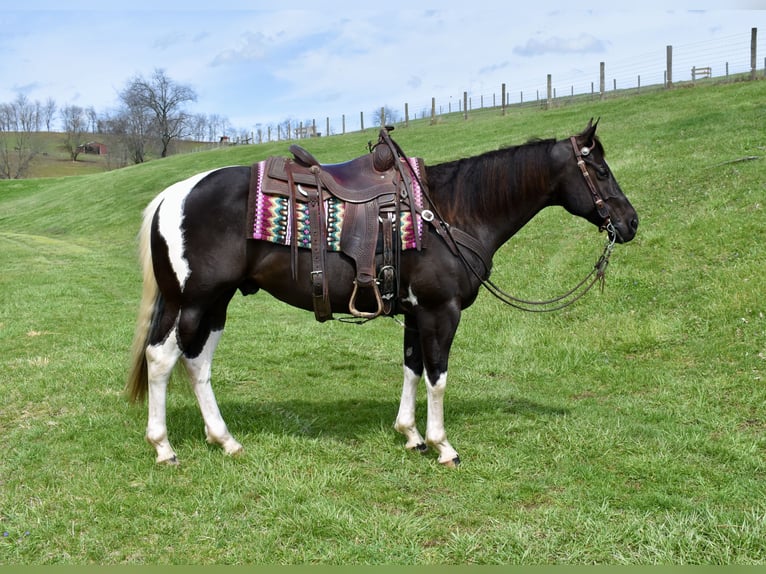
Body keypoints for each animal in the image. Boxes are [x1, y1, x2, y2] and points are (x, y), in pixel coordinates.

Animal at [126, 119, 638, 467]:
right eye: (601, 171)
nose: (631, 222)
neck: (450, 212)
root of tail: (172, 194)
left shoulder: (415, 312)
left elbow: (412, 368)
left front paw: (410, 435)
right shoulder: (440, 311)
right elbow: (437, 376)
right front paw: (442, 445)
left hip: (216, 302)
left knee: (197, 363)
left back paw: (225, 439)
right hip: (190, 300)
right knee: (163, 359)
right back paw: (164, 447)